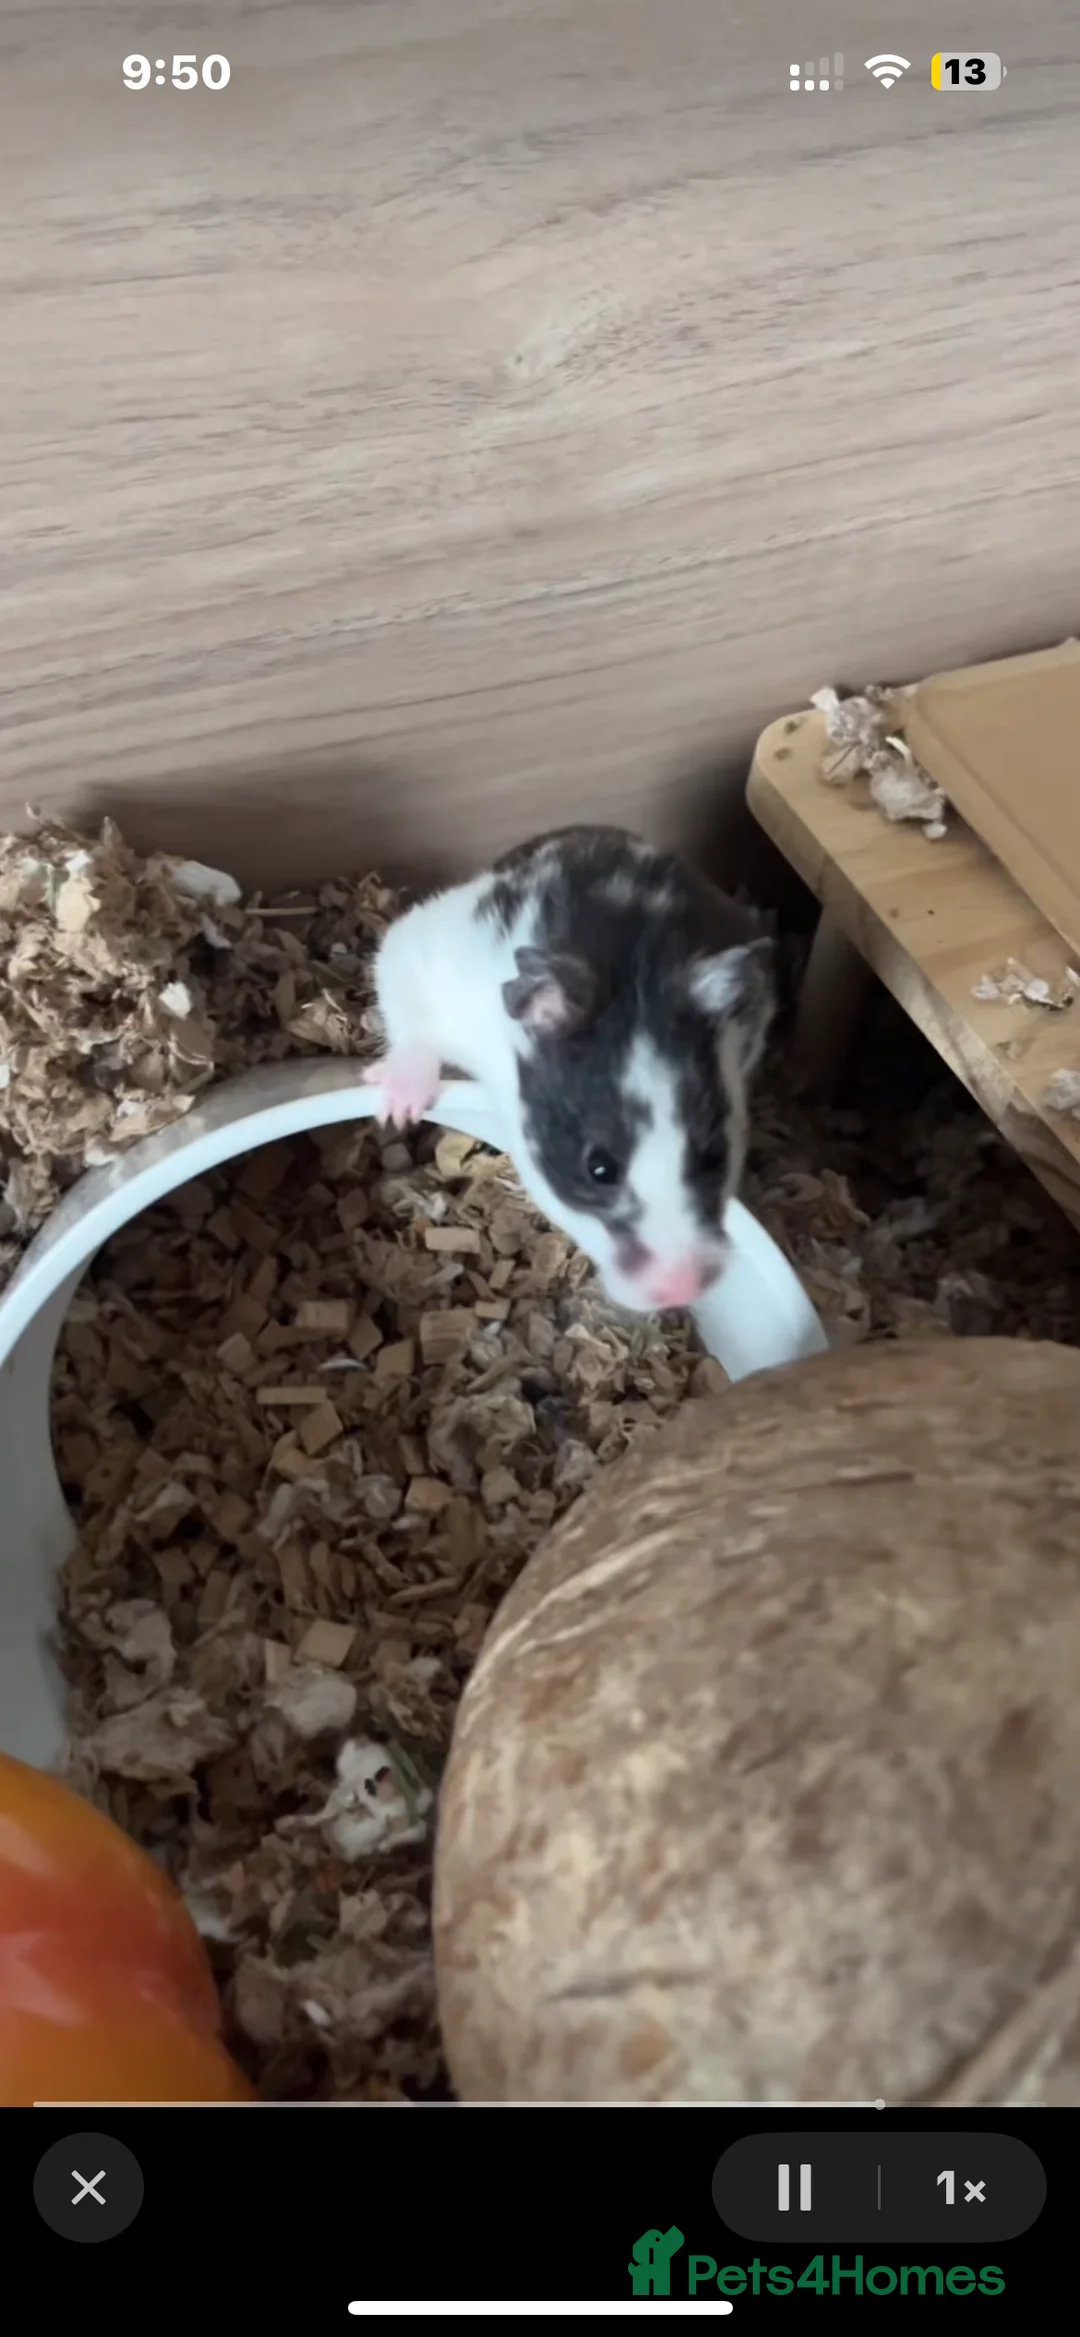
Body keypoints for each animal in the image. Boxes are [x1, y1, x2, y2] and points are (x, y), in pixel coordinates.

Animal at [363, 824, 775, 1315]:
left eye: (714, 1157)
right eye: (599, 1169)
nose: (682, 1290)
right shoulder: (424, 955)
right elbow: (411, 1023)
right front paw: (396, 1112)